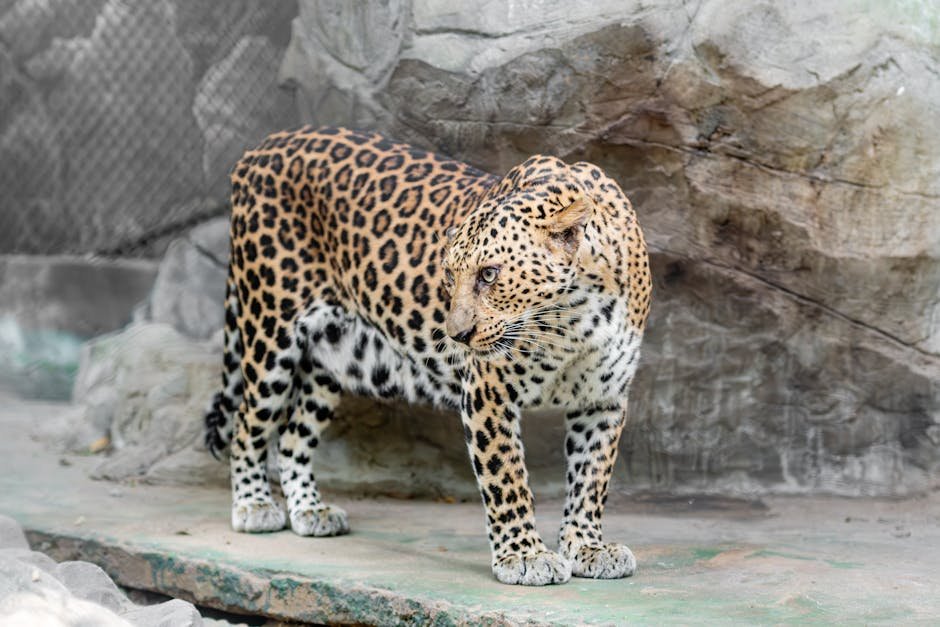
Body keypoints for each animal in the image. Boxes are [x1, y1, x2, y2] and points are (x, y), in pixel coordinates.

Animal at [204, 125, 652, 586]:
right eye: (450, 276)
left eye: (489, 274)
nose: (457, 335)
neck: (573, 321)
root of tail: (260, 148)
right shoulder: (488, 392)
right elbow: (506, 477)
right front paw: (524, 556)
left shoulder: (603, 398)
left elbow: (591, 478)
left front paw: (588, 546)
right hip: (271, 332)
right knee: (247, 425)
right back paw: (254, 505)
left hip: (333, 355)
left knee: (293, 435)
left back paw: (311, 511)